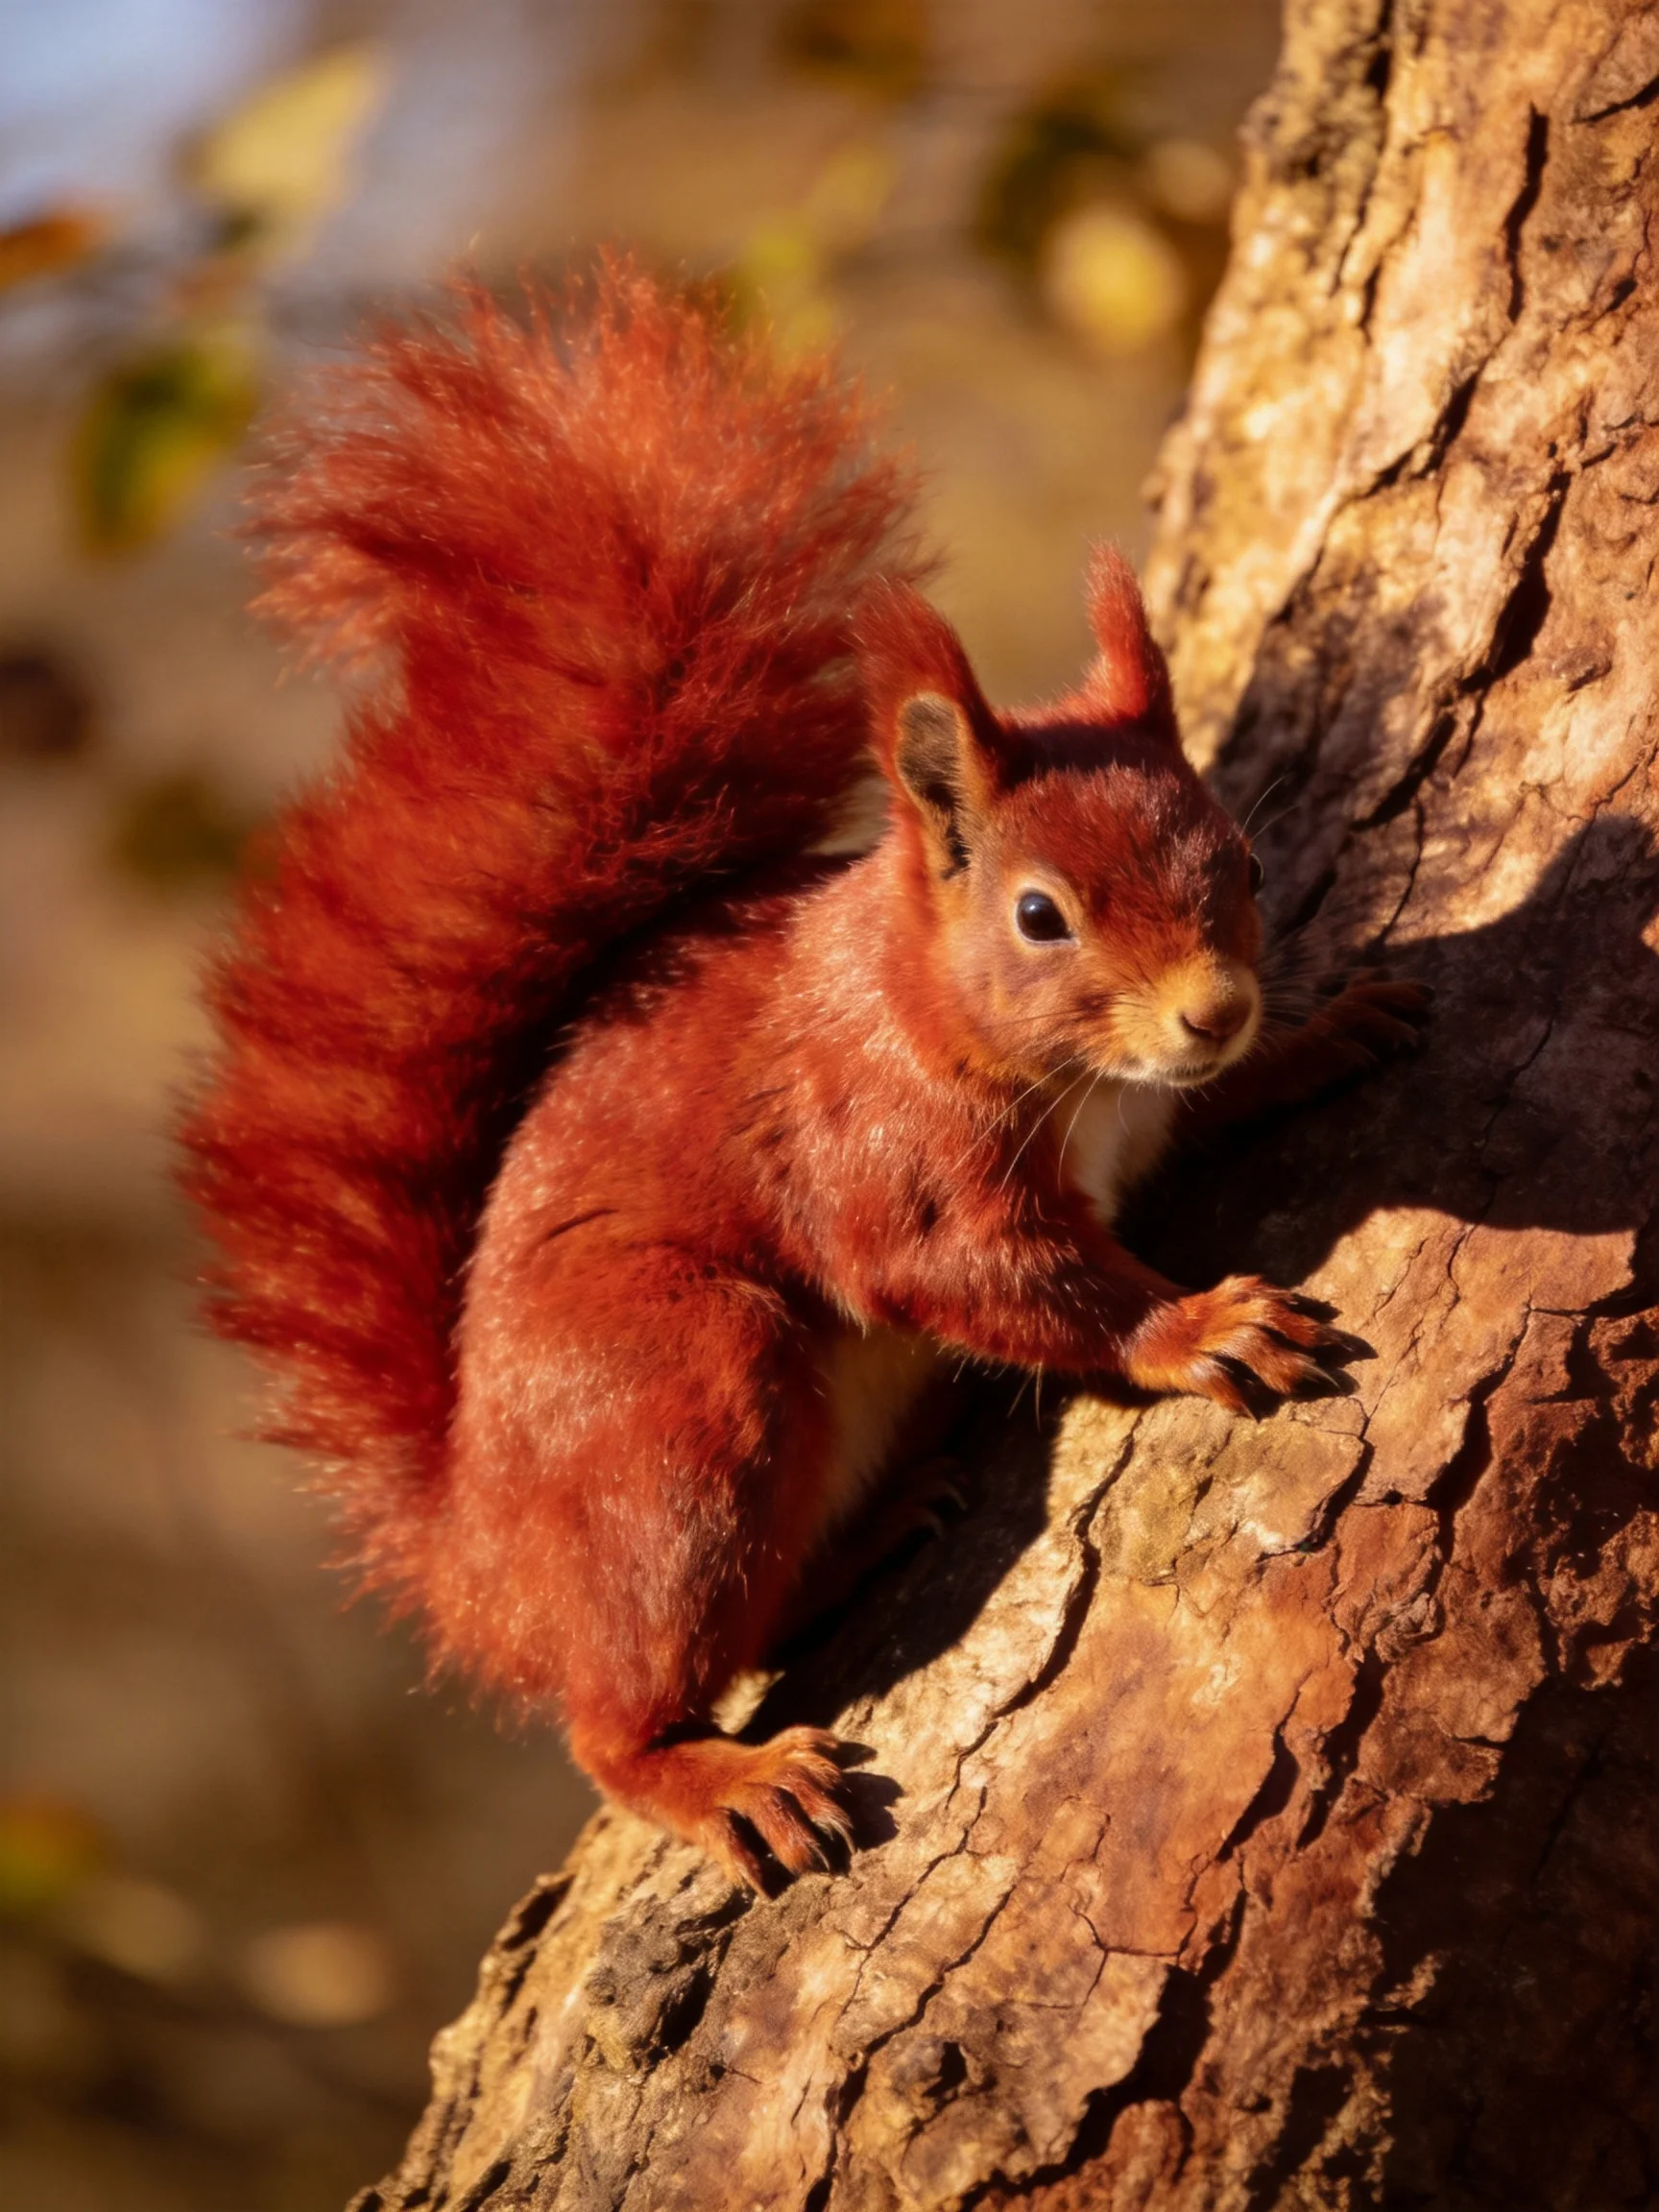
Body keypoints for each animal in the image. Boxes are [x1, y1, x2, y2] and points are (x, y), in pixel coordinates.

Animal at [181, 256, 1427, 1891]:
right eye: (1041, 916)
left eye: (1252, 864)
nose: (1214, 1009)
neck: (962, 1022)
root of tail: (480, 1562)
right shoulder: (884, 1158)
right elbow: (996, 1277)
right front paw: (1199, 1325)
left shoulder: (1144, 1103)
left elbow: (1204, 1113)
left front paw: (1326, 1030)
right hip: (676, 1402)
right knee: (617, 1714)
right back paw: (721, 1777)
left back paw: (874, 1532)